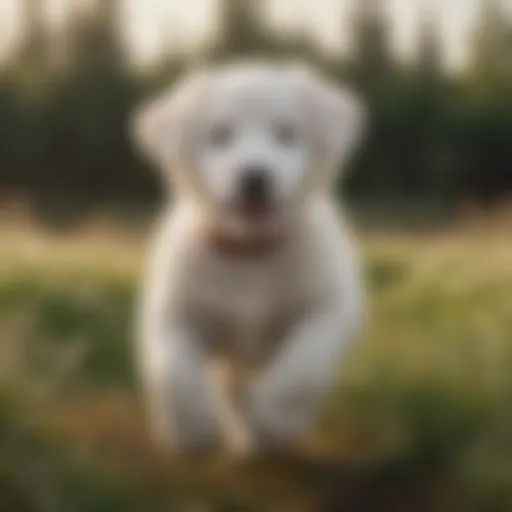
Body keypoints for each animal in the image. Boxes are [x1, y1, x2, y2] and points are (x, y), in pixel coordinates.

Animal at [132, 61, 364, 456]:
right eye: (220, 135)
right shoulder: (173, 309)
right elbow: (172, 367)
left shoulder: (332, 306)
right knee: (230, 385)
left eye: (286, 133)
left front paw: (275, 418)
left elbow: (304, 364)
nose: (255, 177)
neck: (250, 254)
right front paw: (192, 427)